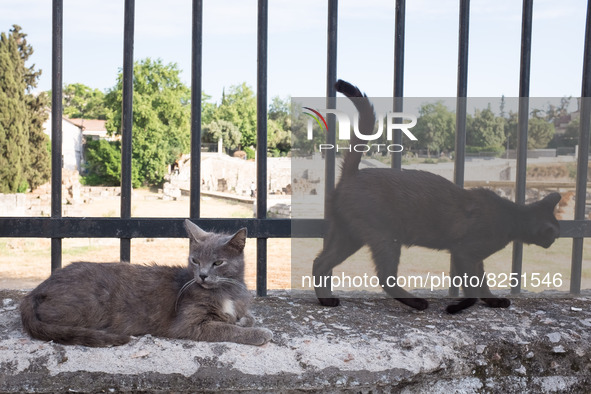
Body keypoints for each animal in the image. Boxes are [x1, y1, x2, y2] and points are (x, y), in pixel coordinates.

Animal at [312, 80, 560, 314]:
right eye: (554, 234)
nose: (553, 242)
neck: (511, 214)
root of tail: (352, 174)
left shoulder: (474, 257)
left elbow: (482, 283)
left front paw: (492, 301)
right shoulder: (464, 252)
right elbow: (472, 287)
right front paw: (458, 307)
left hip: (349, 235)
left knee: (320, 262)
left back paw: (326, 300)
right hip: (385, 237)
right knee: (385, 277)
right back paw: (417, 303)